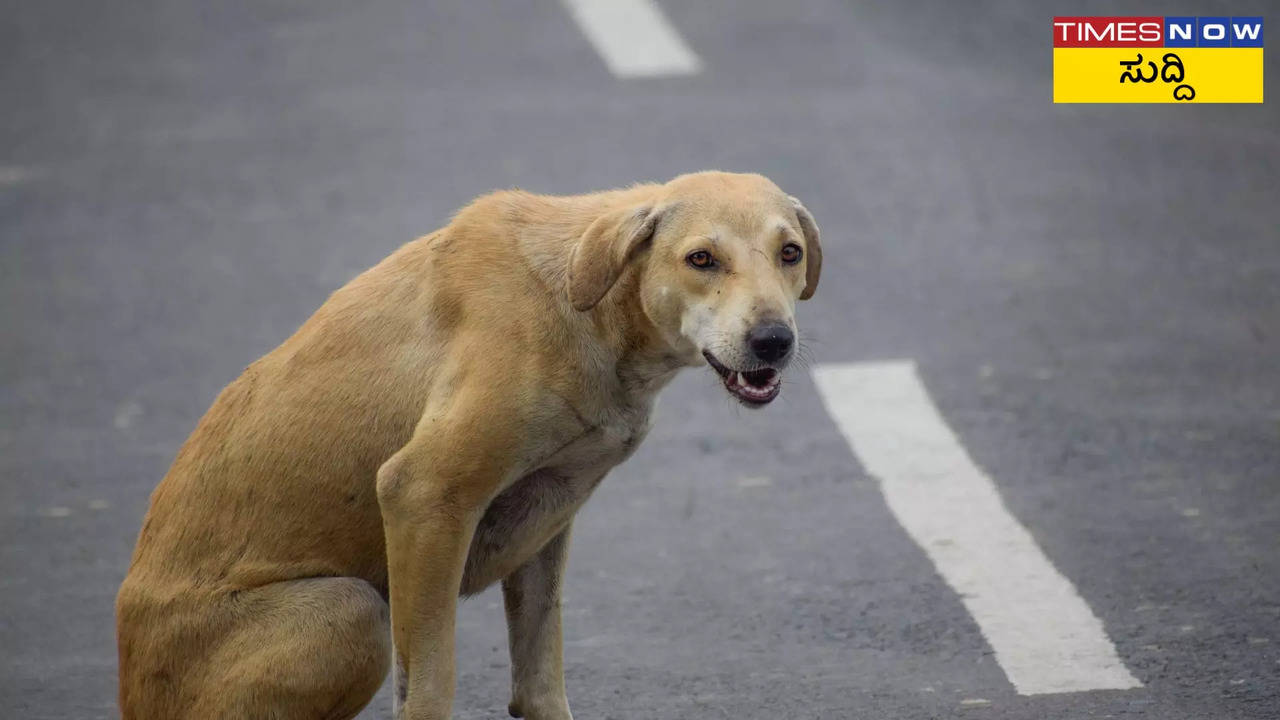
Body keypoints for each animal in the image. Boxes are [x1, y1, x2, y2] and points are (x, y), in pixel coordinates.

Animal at [117, 170, 819, 712]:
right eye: (701, 259)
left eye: (790, 253)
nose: (774, 342)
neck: (586, 301)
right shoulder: (424, 498)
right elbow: (429, 688)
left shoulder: (549, 517)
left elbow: (539, 685)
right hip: (349, 611)